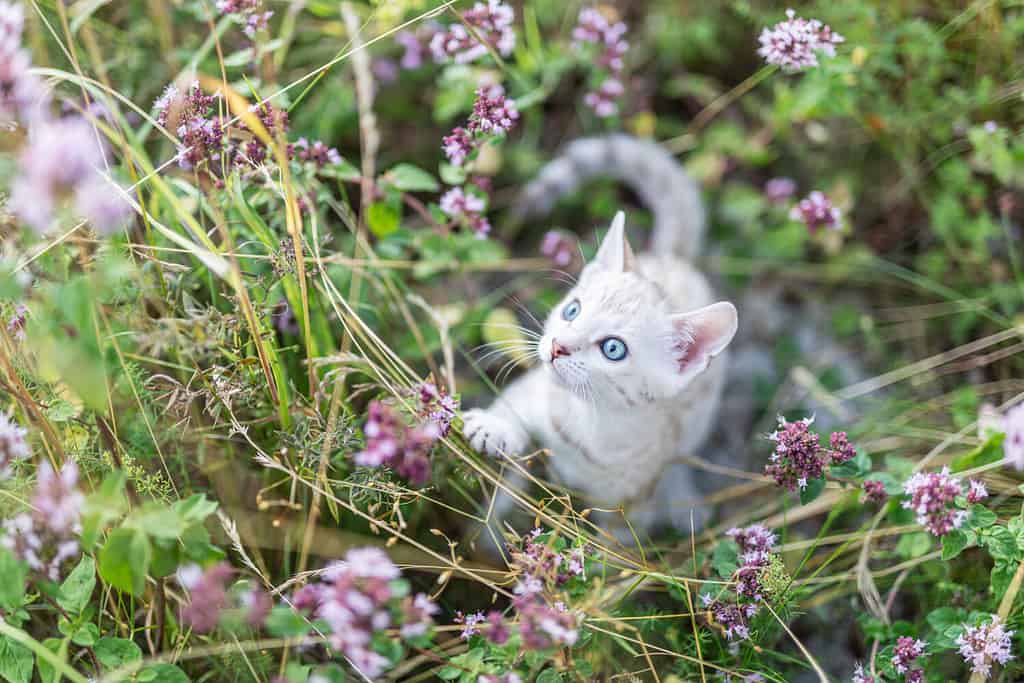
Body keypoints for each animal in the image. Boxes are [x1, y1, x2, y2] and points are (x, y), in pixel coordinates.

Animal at [464, 135, 737, 544]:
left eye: (613, 348)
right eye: (572, 311)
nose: (558, 346)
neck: (587, 423)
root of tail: (674, 259)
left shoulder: (630, 503)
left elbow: (616, 544)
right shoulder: (538, 391)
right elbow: (515, 405)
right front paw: (496, 427)